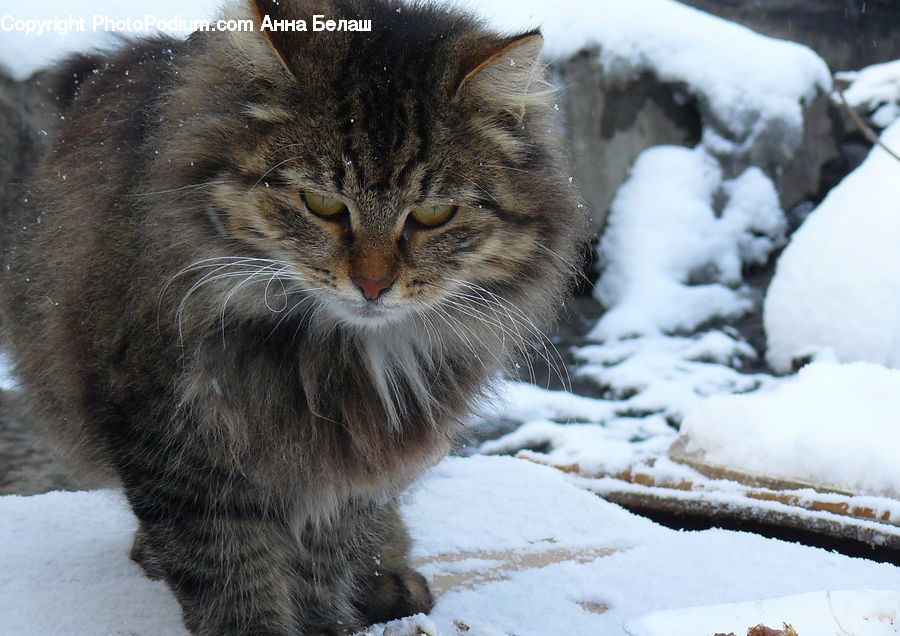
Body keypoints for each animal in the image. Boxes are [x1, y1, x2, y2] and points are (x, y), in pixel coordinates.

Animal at [0, 0, 592, 632]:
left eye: (433, 214)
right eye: (323, 204)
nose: (373, 284)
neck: (338, 358)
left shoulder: (351, 466)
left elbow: (320, 563)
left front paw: (324, 620)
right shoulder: (172, 436)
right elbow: (230, 571)